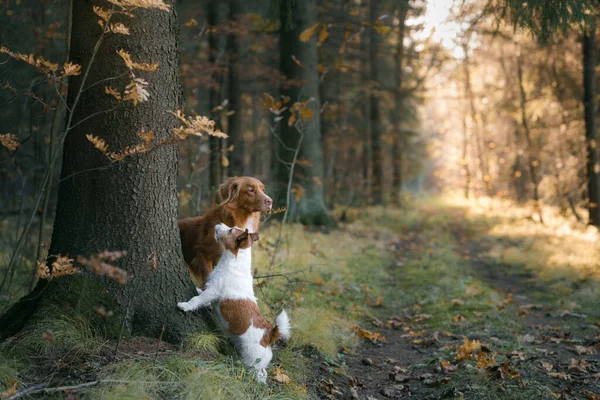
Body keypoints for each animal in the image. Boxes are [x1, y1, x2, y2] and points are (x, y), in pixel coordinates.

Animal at [176, 223, 290, 382]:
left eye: (230, 230)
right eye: (233, 227)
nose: (218, 224)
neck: (235, 261)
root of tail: (268, 336)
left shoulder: (214, 291)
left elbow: (198, 299)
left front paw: (185, 306)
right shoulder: (211, 291)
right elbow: (202, 296)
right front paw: (198, 291)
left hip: (252, 359)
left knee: (258, 373)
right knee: (264, 374)